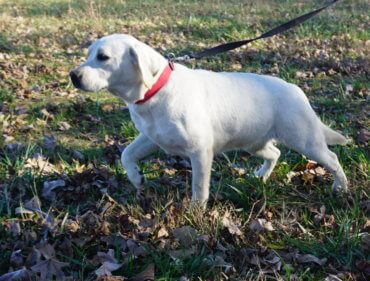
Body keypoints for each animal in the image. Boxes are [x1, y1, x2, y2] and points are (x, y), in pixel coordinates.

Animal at [70, 33, 350, 203]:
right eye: (88, 54)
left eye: (103, 57)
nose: (73, 75)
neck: (155, 90)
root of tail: (296, 90)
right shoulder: (151, 137)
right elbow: (126, 154)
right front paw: (136, 178)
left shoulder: (200, 152)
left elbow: (199, 188)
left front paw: (195, 214)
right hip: (255, 142)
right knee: (275, 153)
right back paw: (261, 176)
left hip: (306, 141)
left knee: (333, 158)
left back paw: (341, 188)